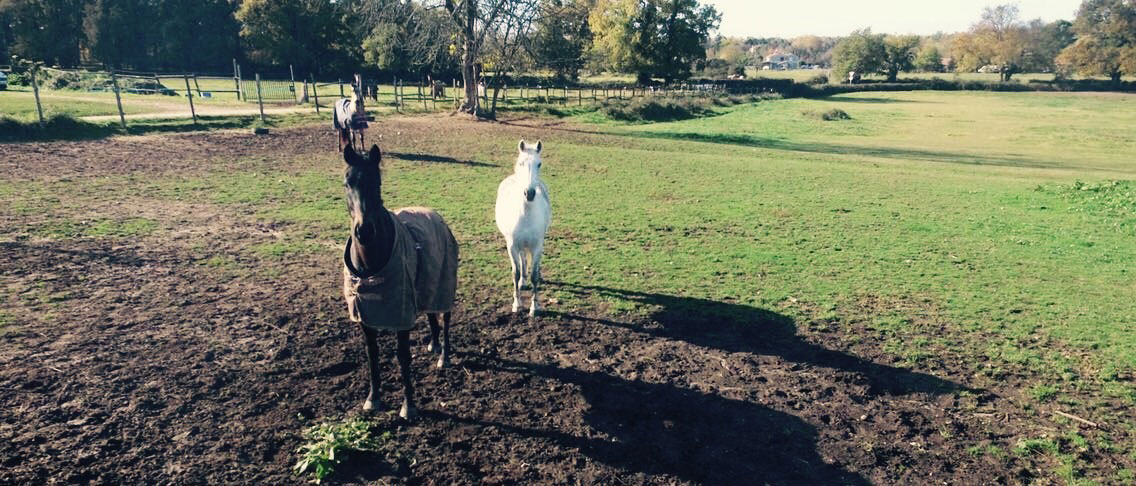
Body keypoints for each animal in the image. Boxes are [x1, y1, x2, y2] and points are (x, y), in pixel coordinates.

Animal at [338, 143, 458, 417]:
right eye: (347, 182)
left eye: (377, 182)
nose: (364, 231)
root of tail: (435, 215)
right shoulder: (365, 316)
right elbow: (372, 355)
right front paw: (373, 398)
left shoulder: (402, 315)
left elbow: (403, 356)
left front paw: (408, 405)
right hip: (425, 286)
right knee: (432, 316)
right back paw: (434, 345)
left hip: (444, 285)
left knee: (445, 319)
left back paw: (444, 356)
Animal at [495, 138, 552, 317]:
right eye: (521, 163)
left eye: (539, 164)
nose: (530, 193)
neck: (525, 213)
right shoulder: (512, 245)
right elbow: (516, 272)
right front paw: (517, 304)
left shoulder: (537, 246)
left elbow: (534, 275)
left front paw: (534, 307)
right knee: (522, 259)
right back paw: (522, 282)